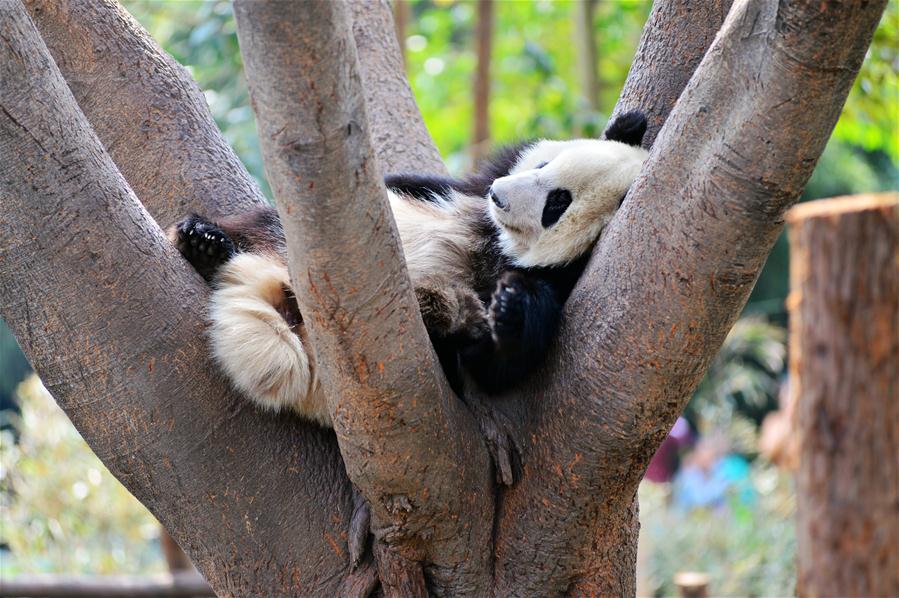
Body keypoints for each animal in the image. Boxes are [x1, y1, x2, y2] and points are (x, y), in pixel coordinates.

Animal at [169, 110, 648, 424]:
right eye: (544, 163)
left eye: (557, 204)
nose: (500, 195)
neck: (499, 243)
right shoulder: (464, 189)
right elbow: (409, 183)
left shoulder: (560, 280)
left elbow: (497, 369)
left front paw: (512, 306)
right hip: (283, 244)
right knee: (258, 226)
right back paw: (206, 243)